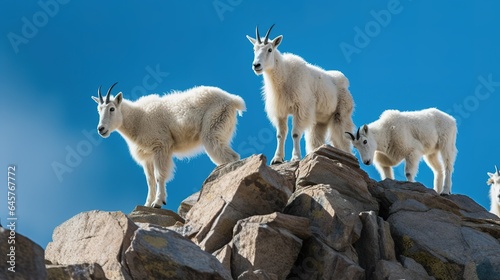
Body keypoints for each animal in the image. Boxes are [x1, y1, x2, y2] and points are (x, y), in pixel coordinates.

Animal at [92, 82, 246, 207]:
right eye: (98, 109)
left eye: (112, 108)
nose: (101, 129)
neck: (138, 119)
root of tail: (233, 100)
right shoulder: (148, 156)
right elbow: (150, 180)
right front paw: (147, 204)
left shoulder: (161, 146)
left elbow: (159, 175)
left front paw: (158, 203)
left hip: (212, 129)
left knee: (230, 157)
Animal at [246, 24, 356, 164]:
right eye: (254, 49)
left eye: (270, 49)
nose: (256, 65)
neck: (284, 76)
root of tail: (345, 83)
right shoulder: (280, 111)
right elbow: (280, 134)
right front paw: (277, 159)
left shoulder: (300, 108)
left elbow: (295, 133)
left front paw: (295, 157)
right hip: (319, 121)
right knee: (317, 139)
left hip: (341, 115)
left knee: (343, 141)